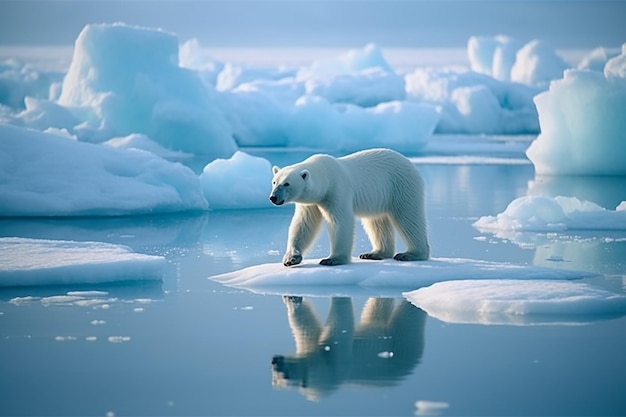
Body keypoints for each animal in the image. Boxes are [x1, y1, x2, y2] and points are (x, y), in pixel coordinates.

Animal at [266, 148, 426, 264]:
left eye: (287, 184)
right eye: (274, 181)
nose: (273, 197)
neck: (326, 175)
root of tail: (409, 162)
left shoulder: (337, 190)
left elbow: (339, 221)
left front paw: (332, 259)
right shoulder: (310, 203)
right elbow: (303, 223)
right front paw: (291, 258)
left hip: (401, 185)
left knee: (409, 217)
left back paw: (410, 254)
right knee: (376, 221)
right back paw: (374, 253)